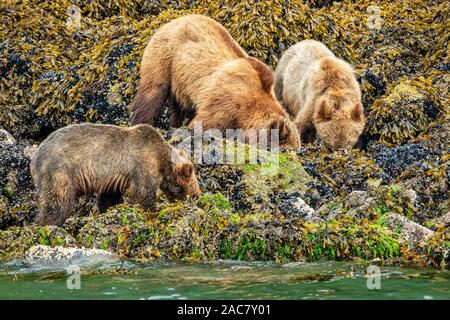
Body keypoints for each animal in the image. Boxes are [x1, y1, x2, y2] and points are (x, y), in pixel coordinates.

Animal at [31, 122, 200, 225]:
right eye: (193, 185)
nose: (198, 195)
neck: (161, 158)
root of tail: (35, 157)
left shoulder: (113, 179)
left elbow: (109, 196)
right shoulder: (142, 163)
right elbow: (143, 193)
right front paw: (152, 212)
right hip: (60, 170)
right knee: (59, 201)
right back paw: (47, 224)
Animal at [129, 14, 298, 149]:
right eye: (284, 151)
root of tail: (176, 19)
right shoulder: (227, 100)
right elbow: (206, 122)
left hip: (180, 80)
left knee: (179, 106)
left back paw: (174, 125)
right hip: (165, 55)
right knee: (153, 92)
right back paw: (142, 124)